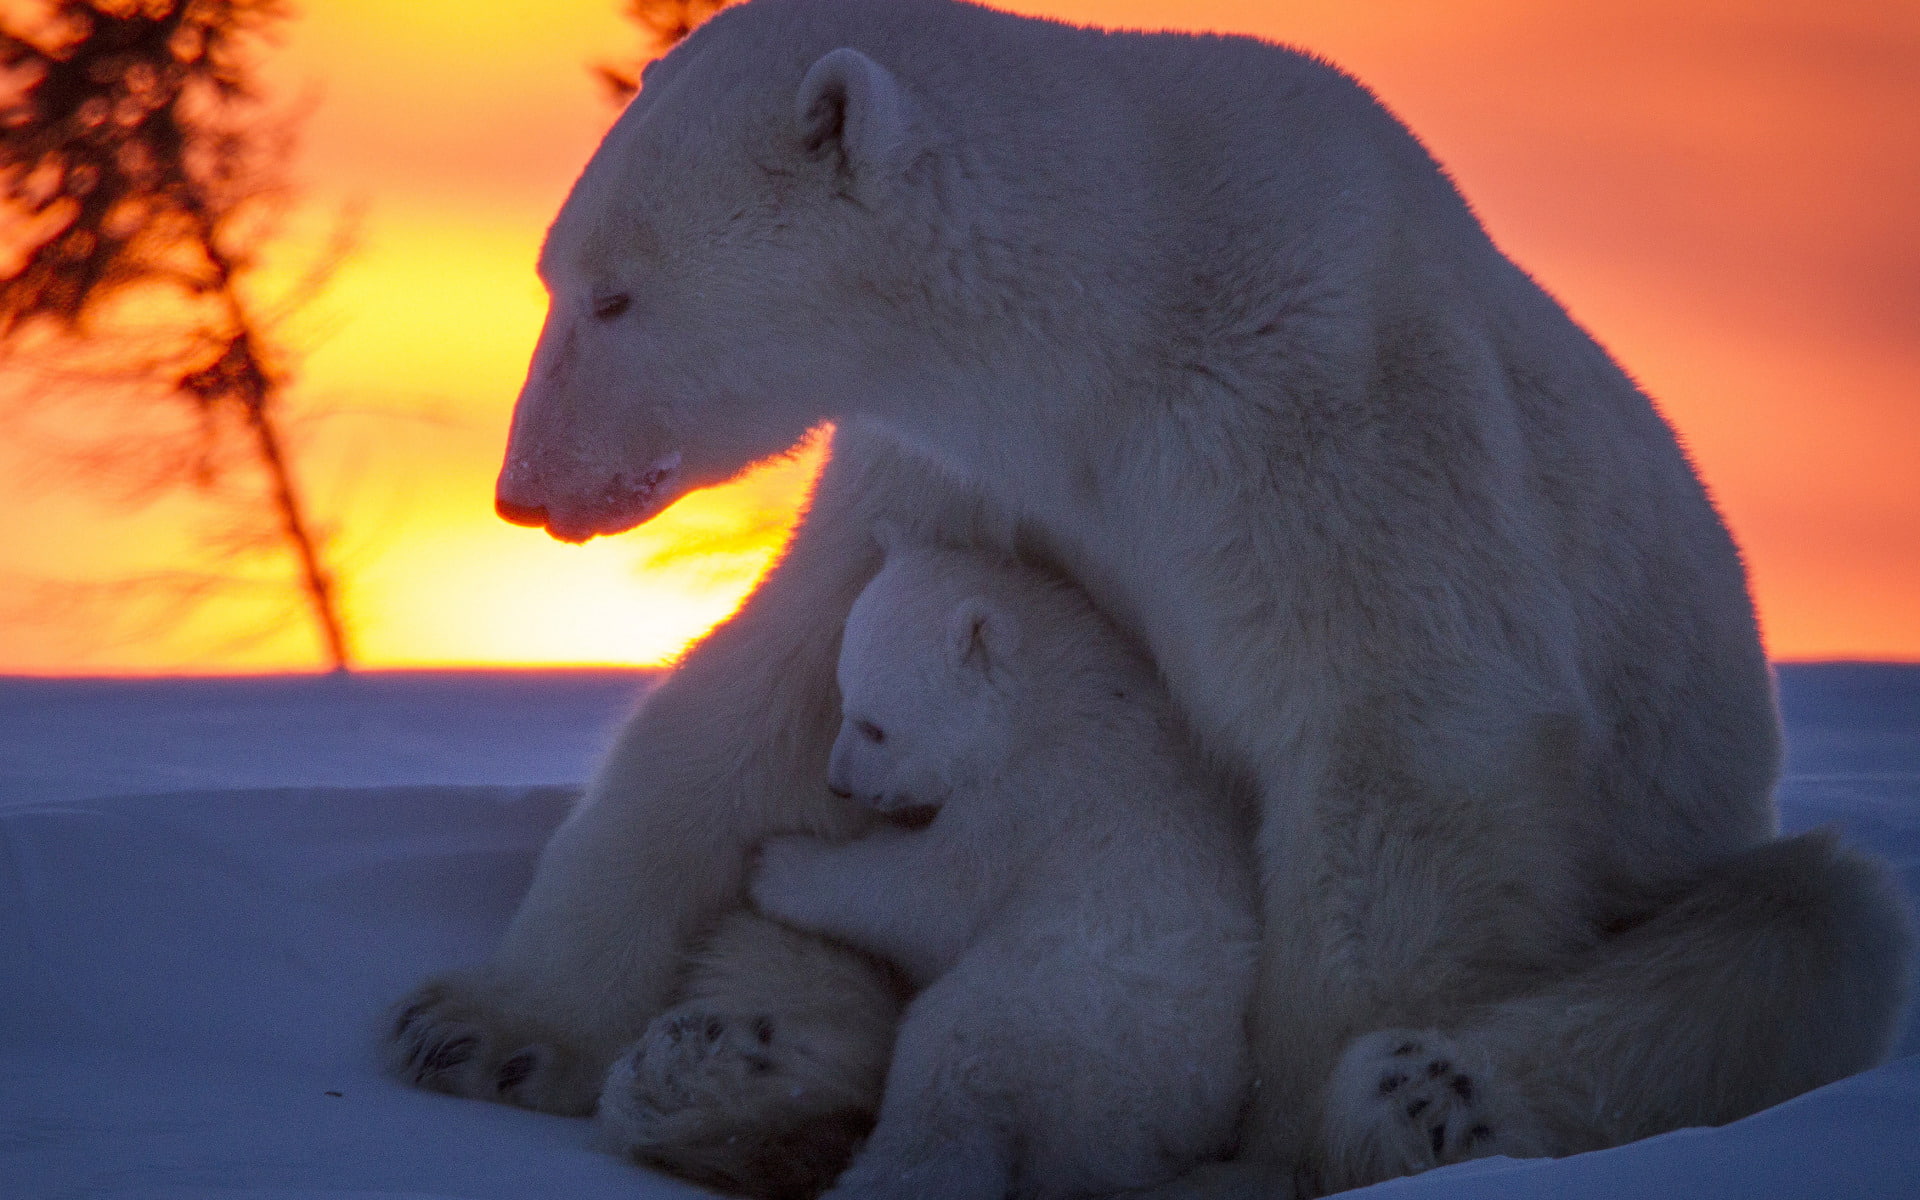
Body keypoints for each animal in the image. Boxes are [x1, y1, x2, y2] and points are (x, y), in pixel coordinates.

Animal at [720, 533, 1256, 1199]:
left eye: (876, 727)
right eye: (843, 701)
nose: (837, 784)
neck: (1061, 695)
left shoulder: (1039, 799)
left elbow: (932, 894)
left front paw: (777, 863)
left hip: (1065, 1014)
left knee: (949, 1070)